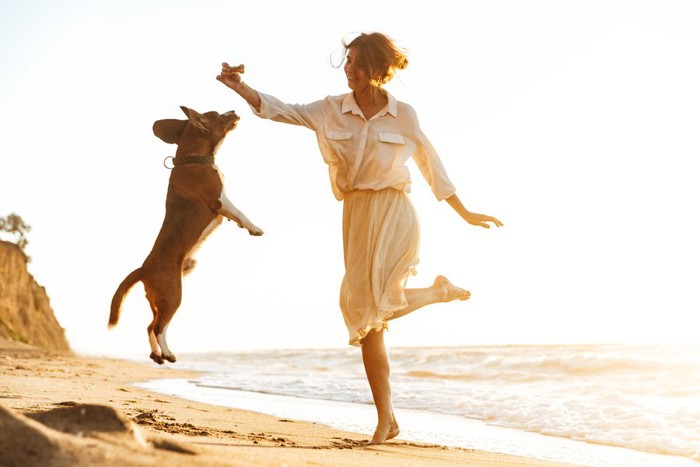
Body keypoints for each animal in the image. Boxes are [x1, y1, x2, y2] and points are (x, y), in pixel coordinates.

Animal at [109, 107, 262, 366]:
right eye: (219, 115)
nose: (233, 110)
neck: (192, 159)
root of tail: (143, 269)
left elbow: (235, 217)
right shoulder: (220, 200)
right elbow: (240, 211)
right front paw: (254, 228)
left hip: (158, 301)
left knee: (149, 326)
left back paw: (157, 355)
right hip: (173, 296)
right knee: (158, 327)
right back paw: (168, 354)